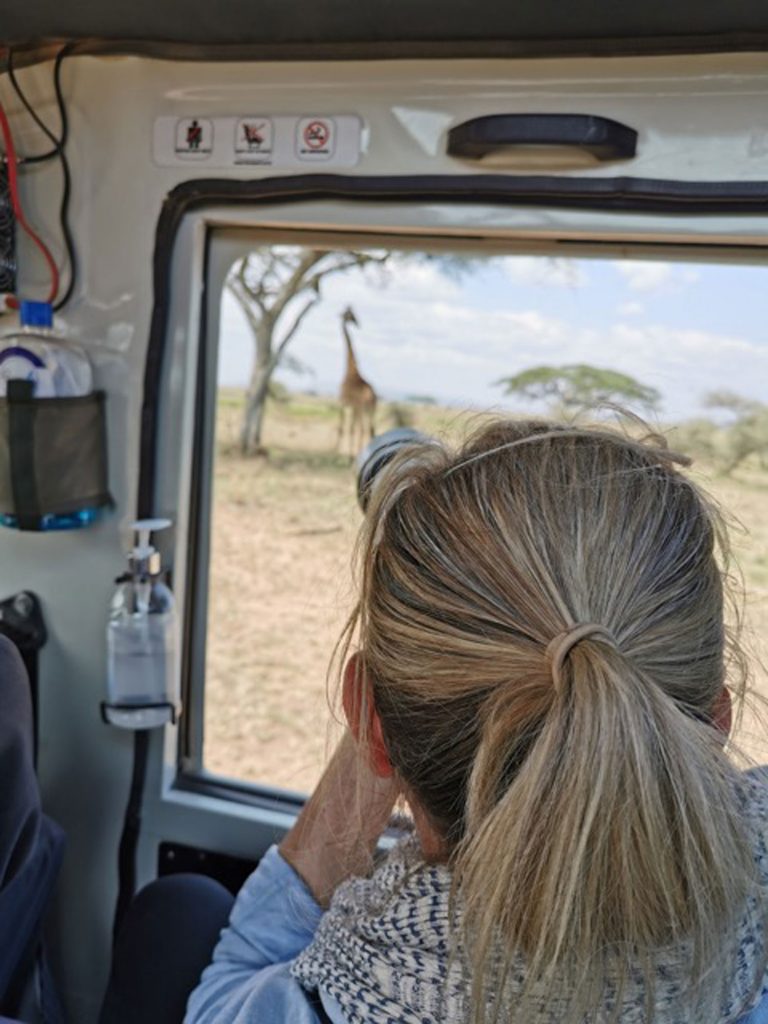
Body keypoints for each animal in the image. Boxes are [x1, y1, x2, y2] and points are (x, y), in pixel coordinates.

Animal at [335, 303, 378, 456]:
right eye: (350, 315)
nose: (357, 323)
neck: (350, 369)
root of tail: (371, 395)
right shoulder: (352, 407)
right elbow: (349, 428)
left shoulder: (342, 402)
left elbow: (343, 428)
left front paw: (336, 453)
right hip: (371, 408)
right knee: (370, 429)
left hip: (361, 408)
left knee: (361, 429)